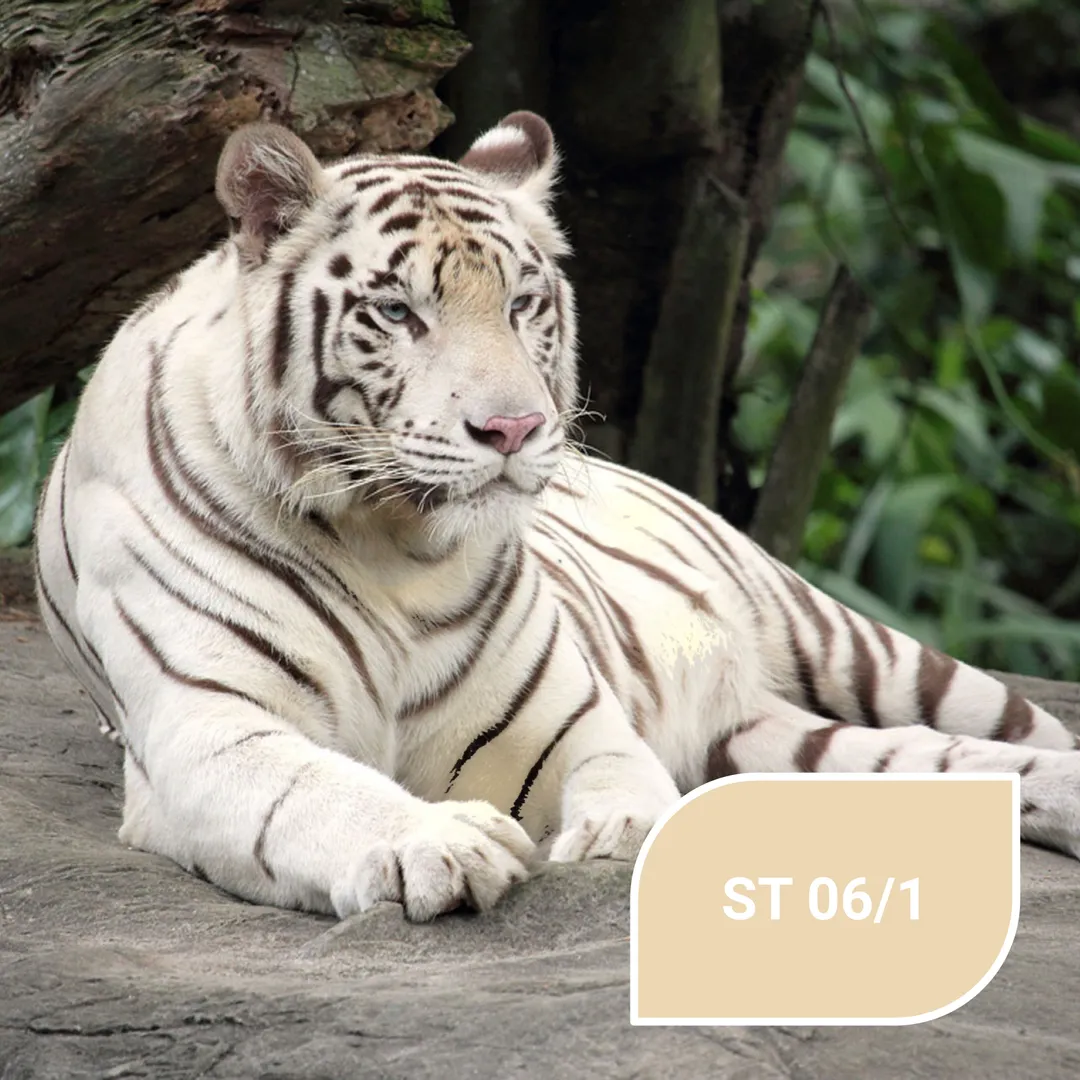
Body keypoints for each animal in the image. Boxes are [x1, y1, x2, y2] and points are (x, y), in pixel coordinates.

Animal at [33, 110, 1080, 922]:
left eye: (523, 303)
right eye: (399, 313)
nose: (513, 428)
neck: (390, 545)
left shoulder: (564, 719)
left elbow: (620, 775)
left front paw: (618, 833)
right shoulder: (212, 730)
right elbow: (321, 792)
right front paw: (437, 843)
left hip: (854, 645)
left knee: (1014, 734)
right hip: (780, 741)